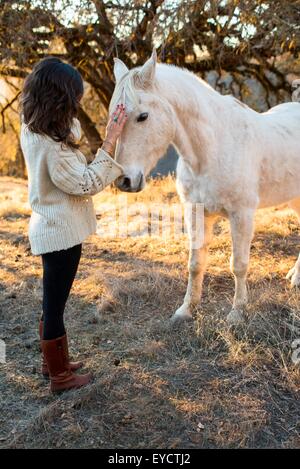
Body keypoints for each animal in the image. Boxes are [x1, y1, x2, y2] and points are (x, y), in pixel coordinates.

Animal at [109, 49, 300, 324]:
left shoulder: (241, 215)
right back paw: (295, 277)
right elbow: (195, 263)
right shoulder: (195, 212)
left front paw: (237, 313)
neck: (213, 148)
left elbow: (239, 264)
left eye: (142, 116)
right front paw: (186, 310)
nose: (124, 181)